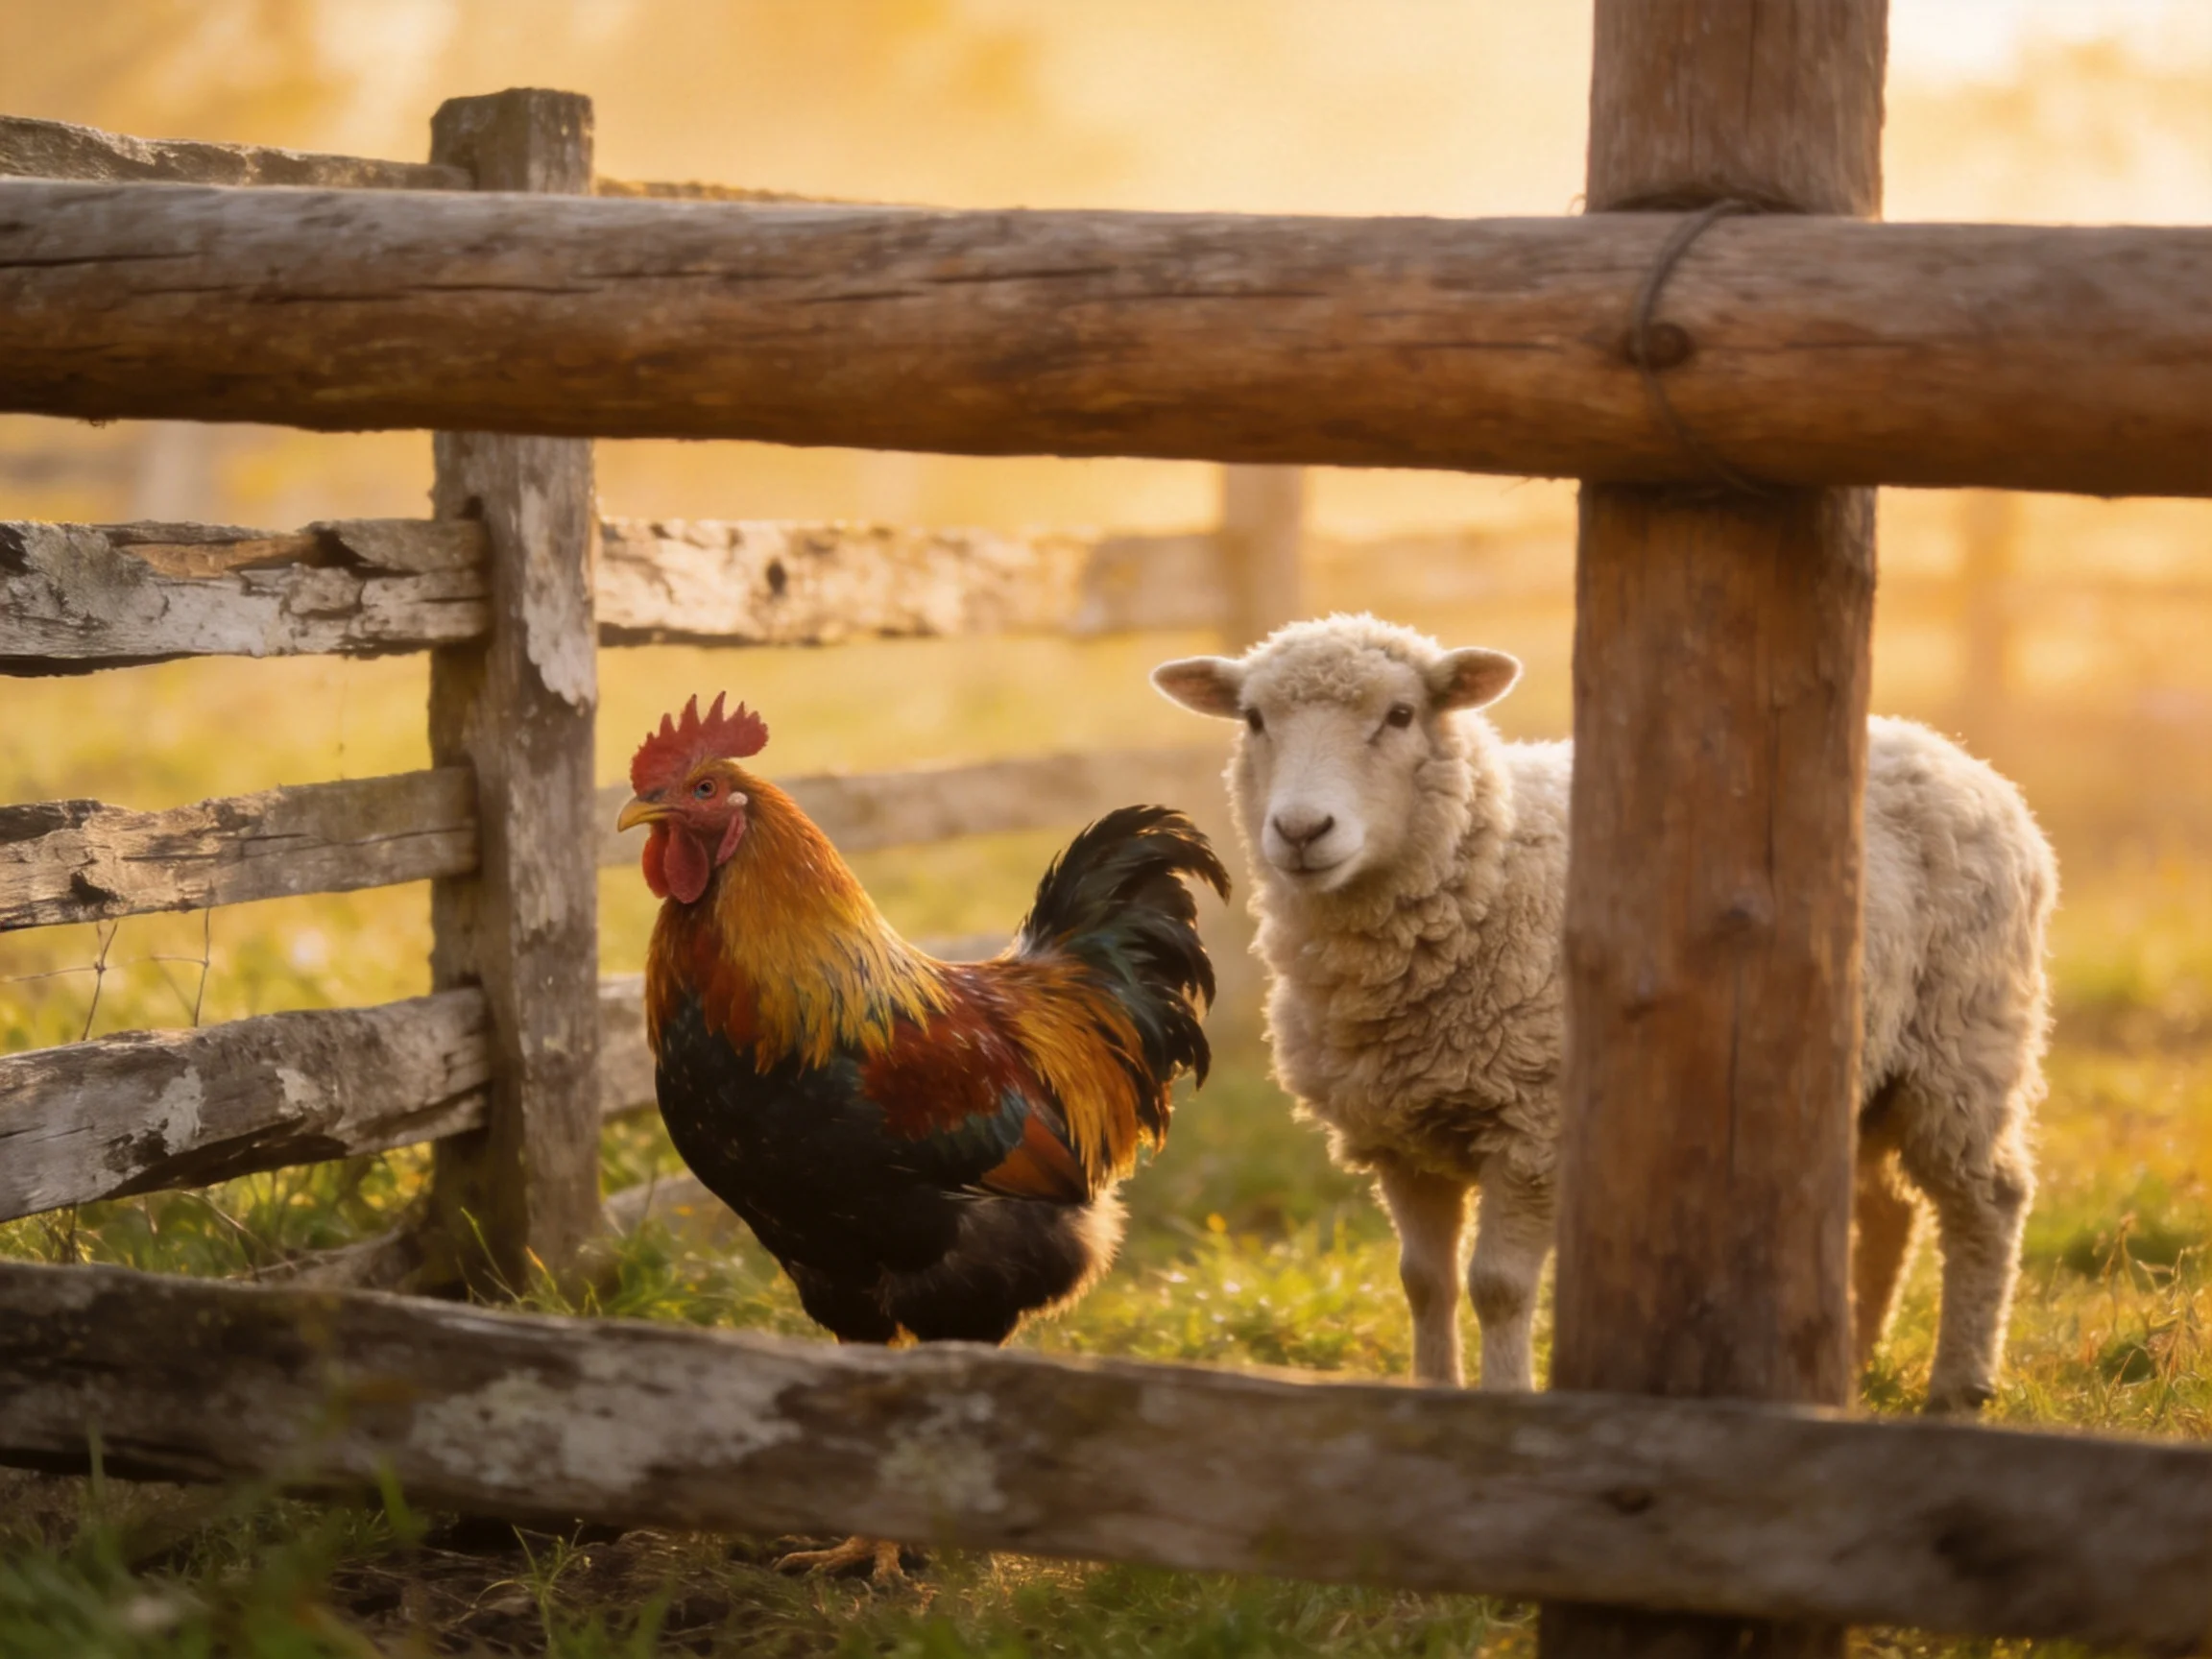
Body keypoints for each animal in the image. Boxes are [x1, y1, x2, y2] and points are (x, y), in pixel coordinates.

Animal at [1152, 613, 2056, 1411]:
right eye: (1254, 719)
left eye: (1401, 714)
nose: (1302, 829)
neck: (1486, 868)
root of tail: (1964, 759)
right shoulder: (1398, 1133)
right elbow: (1424, 1283)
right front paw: (1433, 1394)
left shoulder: (1535, 1126)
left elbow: (1497, 1287)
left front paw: (1505, 1401)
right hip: (1861, 1064)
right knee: (1881, 1207)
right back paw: (1853, 1360)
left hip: (1966, 1043)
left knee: (1989, 1200)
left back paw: (1959, 1385)